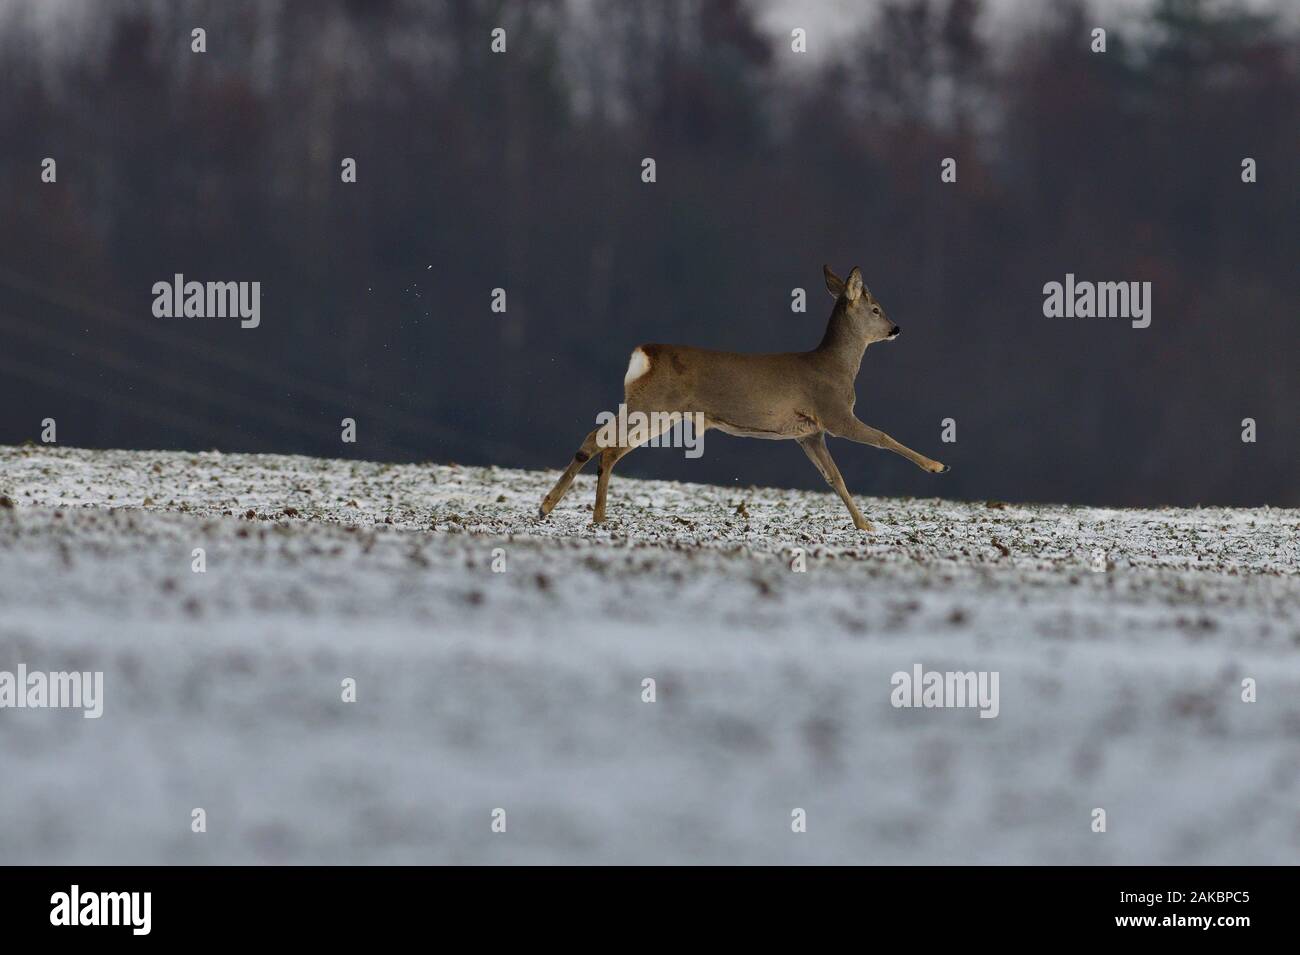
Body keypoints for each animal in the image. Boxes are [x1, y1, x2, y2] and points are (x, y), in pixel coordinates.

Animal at [538, 265, 949, 530]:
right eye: (876, 308)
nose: (896, 328)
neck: (836, 368)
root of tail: (643, 354)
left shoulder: (808, 433)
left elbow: (834, 478)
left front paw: (863, 523)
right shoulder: (834, 413)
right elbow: (881, 438)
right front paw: (936, 466)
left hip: (658, 412)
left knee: (601, 441)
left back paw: (551, 507)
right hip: (654, 406)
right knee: (605, 444)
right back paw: (592, 515)